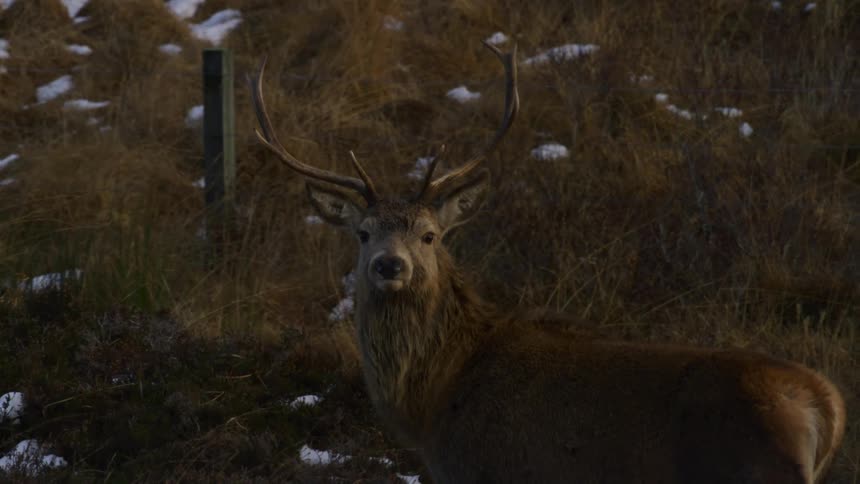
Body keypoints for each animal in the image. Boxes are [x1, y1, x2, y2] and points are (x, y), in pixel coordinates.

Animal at [250, 42, 846, 484]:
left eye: (430, 235)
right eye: (362, 232)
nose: (389, 266)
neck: (436, 399)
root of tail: (828, 405)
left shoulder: (484, 469)